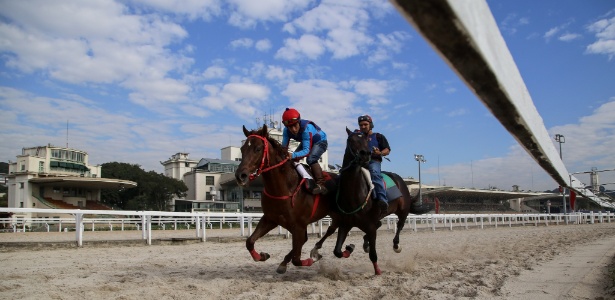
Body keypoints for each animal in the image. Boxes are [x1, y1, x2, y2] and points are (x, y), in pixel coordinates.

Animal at [235, 125, 346, 274]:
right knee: (328, 230)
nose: (240, 175)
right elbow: (249, 241)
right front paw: (262, 256)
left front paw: (311, 260)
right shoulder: (271, 219)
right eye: (242, 149)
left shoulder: (298, 225)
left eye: (257, 148)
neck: (285, 187)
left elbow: (297, 259)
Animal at [312, 126, 434, 274]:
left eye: (366, 140)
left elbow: (373, 254)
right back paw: (365, 243)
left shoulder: (367, 225)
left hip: (403, 210)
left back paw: (396, 245)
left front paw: (377, 271)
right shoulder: (345, 223)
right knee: (379, 225)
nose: (365, 154)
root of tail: (400, 180)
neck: (353, 194)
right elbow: (337, 251)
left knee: (400, 225)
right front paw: (350, 247)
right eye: (350, 140)